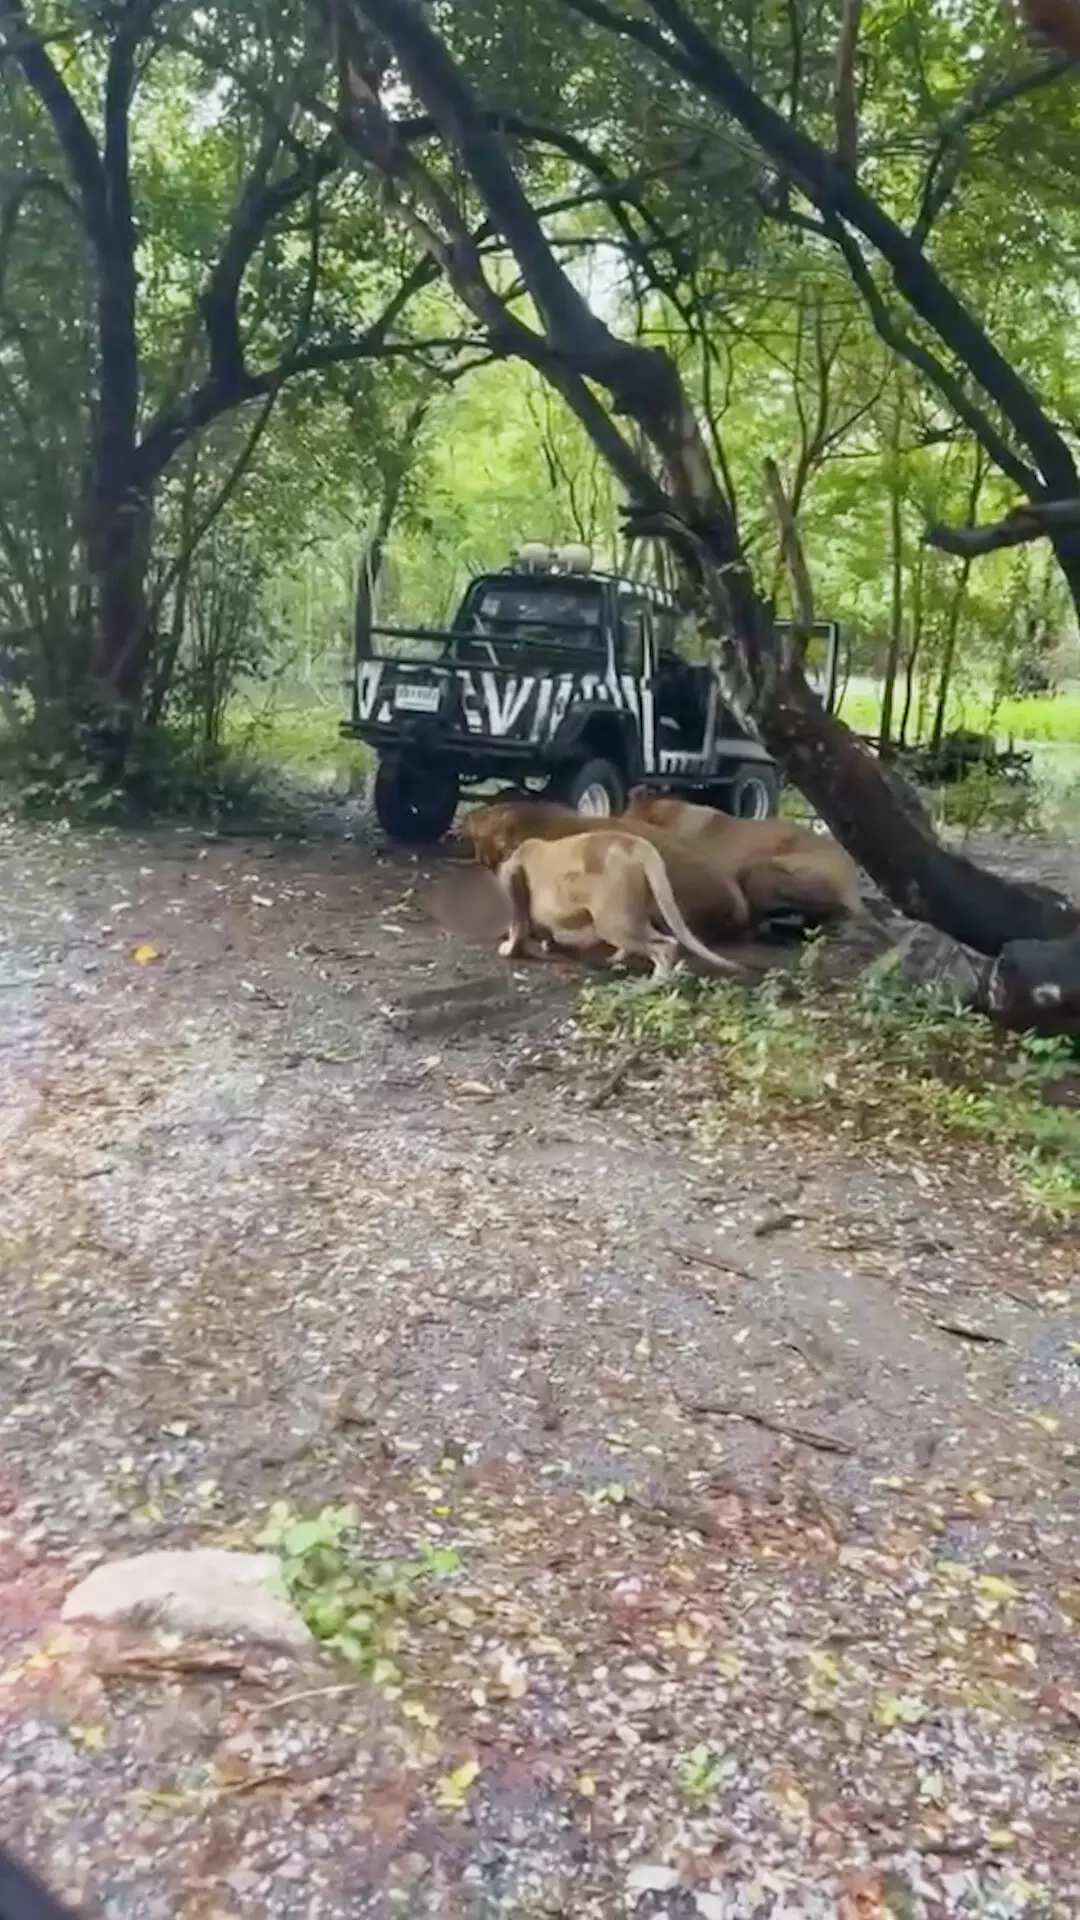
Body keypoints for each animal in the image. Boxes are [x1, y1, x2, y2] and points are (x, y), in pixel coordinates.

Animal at [496, 831, 745, 981]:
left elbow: (517, 925)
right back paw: (618, 961)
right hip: (631, 916)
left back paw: (655, 983)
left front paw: (511, 949)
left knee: (664, 946)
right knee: (661, 942)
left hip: (613, 922)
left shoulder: (514, 882)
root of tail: (638, 845)